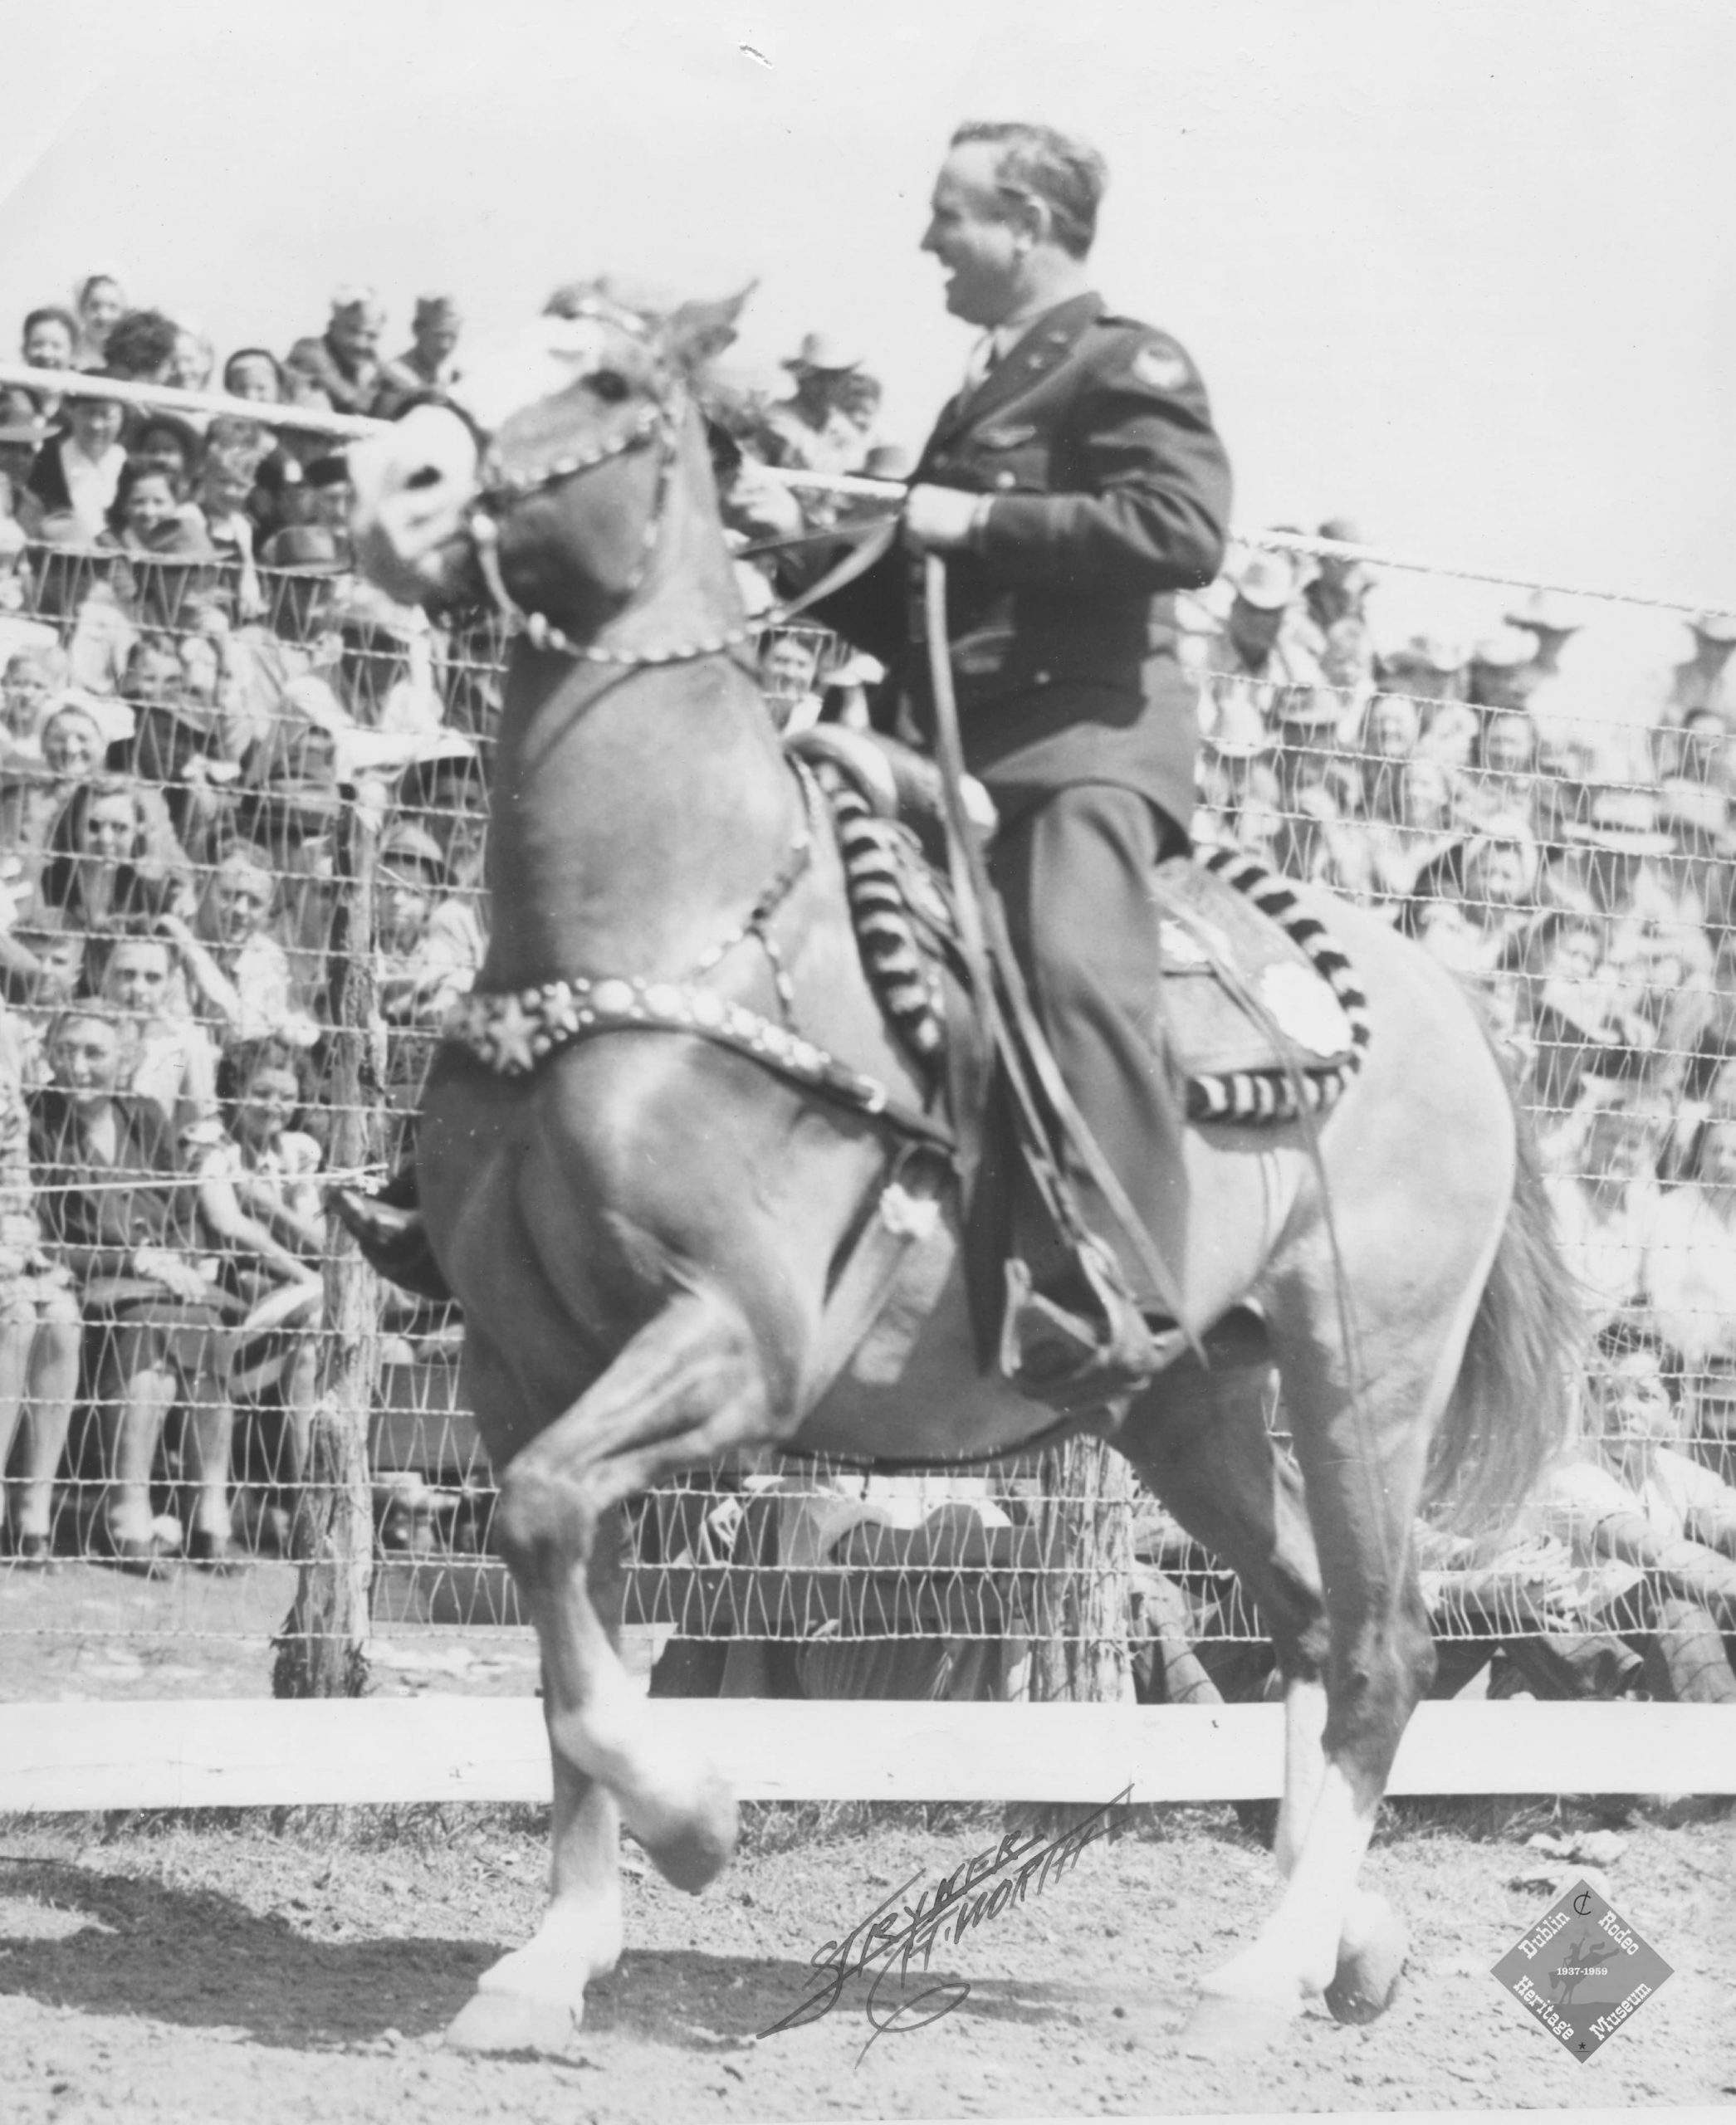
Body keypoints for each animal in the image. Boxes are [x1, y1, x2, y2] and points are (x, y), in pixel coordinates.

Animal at [346, 286, 1581, 2057]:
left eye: (609, 376)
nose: (394, 487)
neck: (666, 923)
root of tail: (1440, 995)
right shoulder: (522, 1366)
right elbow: (556, 1615)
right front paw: (551, 1957)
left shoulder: (735, 1344)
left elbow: (549, 1539)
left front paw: (695, 1824)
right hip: (1186, 1401)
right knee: (1303, 1618)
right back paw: (1343, 1938)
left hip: (1365, 1367)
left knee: (1380, 1643)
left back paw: (1269, 1964)